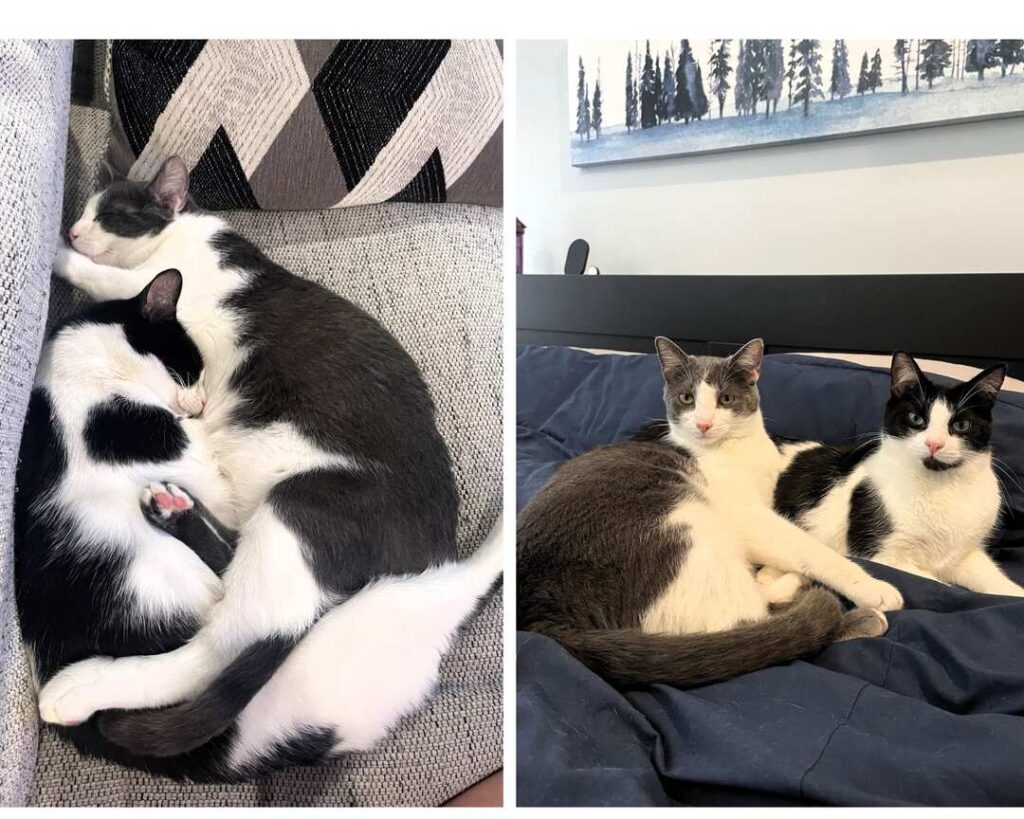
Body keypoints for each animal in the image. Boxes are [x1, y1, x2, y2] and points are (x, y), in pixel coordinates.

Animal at [37, 155, 501, 769]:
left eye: (112, 214)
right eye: (87, 209)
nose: (72, 230)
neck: (191, 233)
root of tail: (431, 568)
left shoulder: (161, 282)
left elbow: (101, 277)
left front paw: (57, 254)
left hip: (298, 510)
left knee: (217, 650)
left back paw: (80, 688)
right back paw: (172, 509)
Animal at [516, 339, 901, 692]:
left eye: (725, 399)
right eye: (687, 399)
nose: (702, 423)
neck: (737, 449)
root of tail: (539, 614)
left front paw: (775, 571)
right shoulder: (749, 517)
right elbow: (810, 549)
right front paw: (872, 587)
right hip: (689, 528)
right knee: (752, 624)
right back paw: (852, 611)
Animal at [770, 350, 1019, 593]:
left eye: (961, 425)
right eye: (916, 418)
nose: (934, 444)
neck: (942, 486)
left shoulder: (965, 555)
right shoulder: (884, 555)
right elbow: (939, 585)